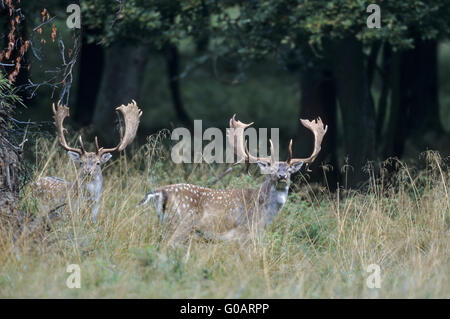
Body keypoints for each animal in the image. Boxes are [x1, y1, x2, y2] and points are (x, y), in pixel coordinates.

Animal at [139, 115, 328, 242]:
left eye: (289, 170)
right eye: (271, 169)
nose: (281, 176)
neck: (264, 215)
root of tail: (158, 192)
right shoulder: (243, 233)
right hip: (181, 223)